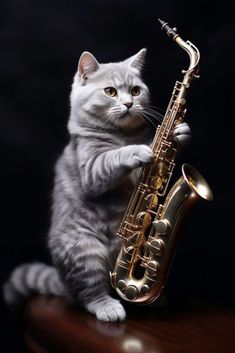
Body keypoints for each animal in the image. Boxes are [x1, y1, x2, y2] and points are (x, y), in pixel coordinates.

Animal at [3, 49, 191, 322]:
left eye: (136, 90)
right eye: (110, 91)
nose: (129, 103)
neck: (122, 135)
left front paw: (181, 132)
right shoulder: (90, 169)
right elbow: (112, 158)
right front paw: (138, 150)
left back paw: (153, 300)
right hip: (83, 249)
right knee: (89, 292)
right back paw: (108, 307)